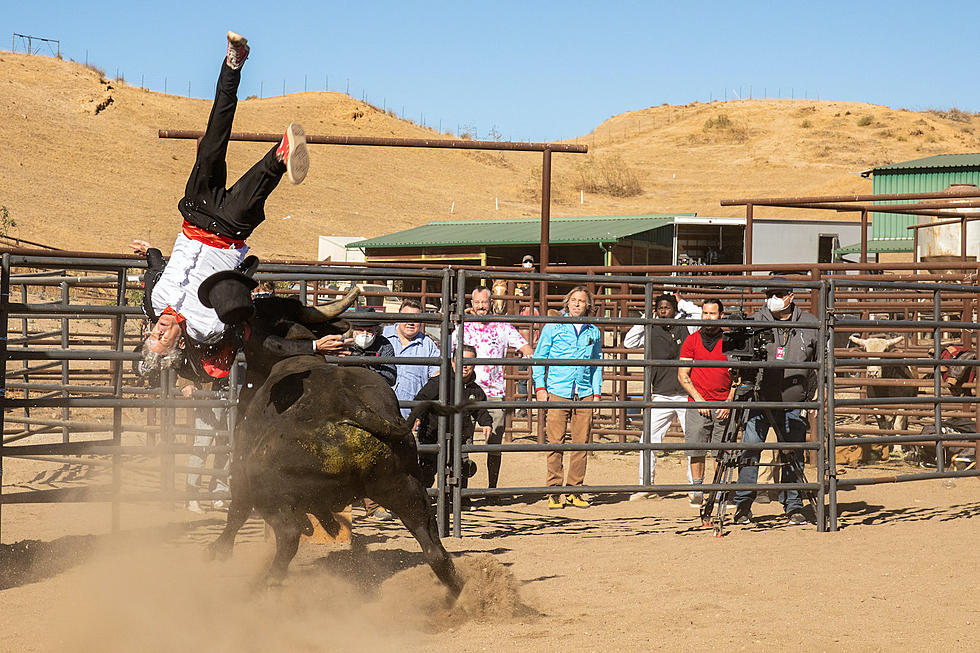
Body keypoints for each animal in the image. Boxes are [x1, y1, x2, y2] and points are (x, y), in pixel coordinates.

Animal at [204, 280, 464, 596]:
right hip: (405, 486)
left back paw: (266, 583)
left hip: (270, 493)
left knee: (287, 535)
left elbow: (237, 512)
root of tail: (349, 406)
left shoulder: (241, 470)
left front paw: (218, 550)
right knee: (433, 547)